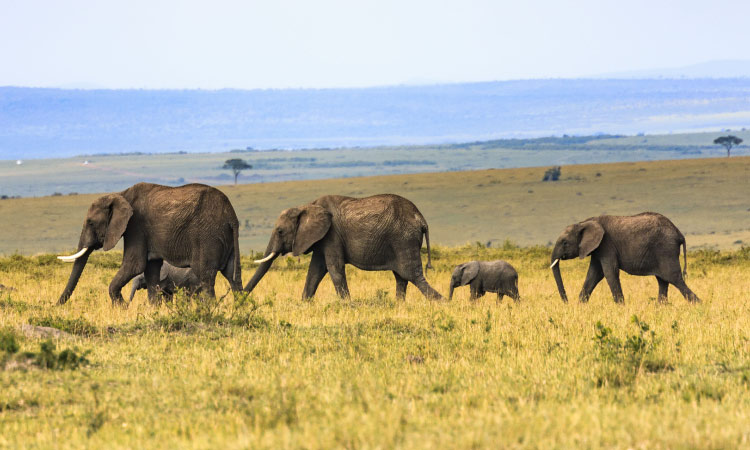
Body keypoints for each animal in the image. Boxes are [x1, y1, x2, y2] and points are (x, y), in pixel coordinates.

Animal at [57, 183, 242, 306]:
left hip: (207, 236)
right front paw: (154, 310)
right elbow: (151, 270)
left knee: (206, 276)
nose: (56, 305)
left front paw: (122, 308)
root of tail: (231, 215)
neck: (121, 194)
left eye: (90, 222)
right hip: (226, 238)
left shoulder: (136, 226)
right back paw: (240, 310)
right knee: (233, 276)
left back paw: (209, 311)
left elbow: (135, 265)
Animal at [244, 195, 444, 300]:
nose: (240, 298)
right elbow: (315, 271)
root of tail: (421, 219)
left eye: (279, 231)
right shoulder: (322, 239)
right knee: (402, 277)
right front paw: (304, 304)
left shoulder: (331, 235)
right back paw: (399, 305)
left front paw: (347, 305)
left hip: (404, 239)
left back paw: (442, 302)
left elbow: (334, 268)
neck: (307, 206)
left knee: (412, 275)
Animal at [548, 213, 704, 304]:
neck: (585, 222)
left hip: (666, 250)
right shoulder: (598, 249)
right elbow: (594, 274)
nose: (566, 302)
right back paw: (661, 307)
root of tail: (679, 233)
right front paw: (580, 305)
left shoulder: (606, 245)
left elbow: (609, 272)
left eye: (565, 243)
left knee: (674, 279)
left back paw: (698, 304)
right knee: (663, 281)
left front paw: (620, 306)